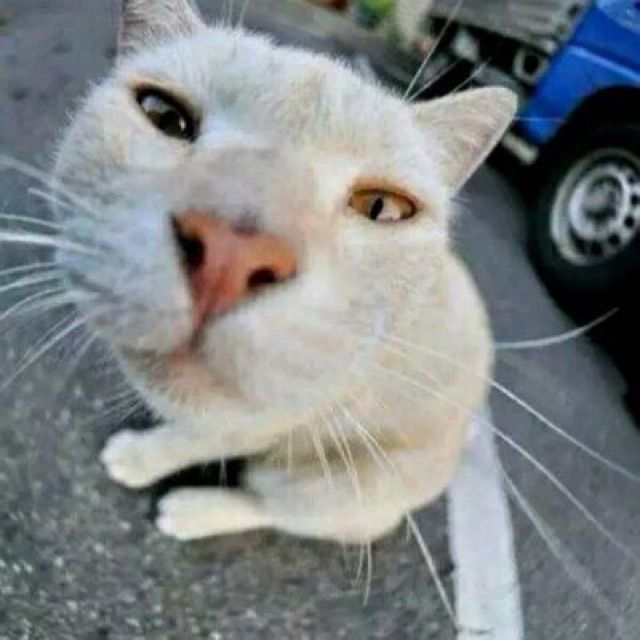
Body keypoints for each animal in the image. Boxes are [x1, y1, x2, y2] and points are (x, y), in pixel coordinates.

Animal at [49, 0, 516, 543]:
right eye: (164, 116)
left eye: (381, 207)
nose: (232, 256)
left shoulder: (278, 417)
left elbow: (192, 440)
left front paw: (143, 456)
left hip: (343, 487)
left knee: (274, 506)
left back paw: (194, 509)